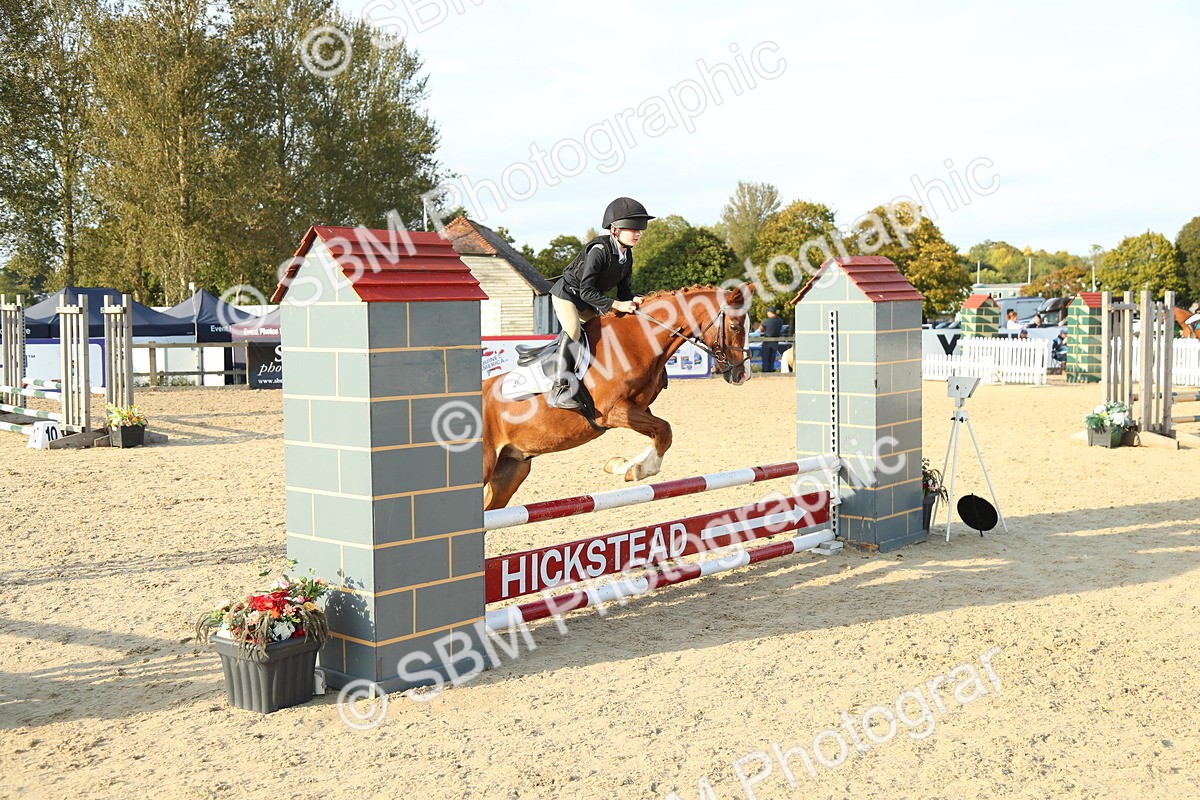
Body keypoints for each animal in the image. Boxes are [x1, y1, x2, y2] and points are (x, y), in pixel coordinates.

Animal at [481, 284, 752, 510]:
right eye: (735, 326)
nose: (743, 374)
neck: (638, 341)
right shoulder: (613, 412)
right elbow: (664, 430)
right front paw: (636, 469)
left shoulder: (638, 408)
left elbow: (661, 433)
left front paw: (623, 465)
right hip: (487, 464)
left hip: (510, 471)